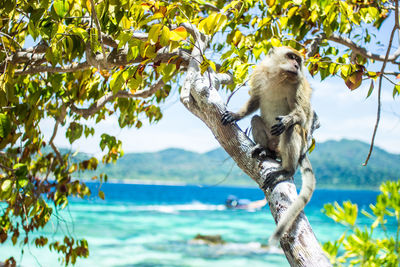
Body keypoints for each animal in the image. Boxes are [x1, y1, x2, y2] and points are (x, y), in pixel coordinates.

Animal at [222, 45, 316, 245]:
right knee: (256, 119)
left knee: (291, 130)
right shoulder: (259, 75)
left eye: (298, 60)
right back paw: (266, 150)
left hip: (297, 143)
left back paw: (286, 170)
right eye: (291, 56)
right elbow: (255, 100)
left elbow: (302, 115)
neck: (280, 76)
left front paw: (288, 119)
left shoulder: (299, 85)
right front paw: (236, 115)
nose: (296, 65)